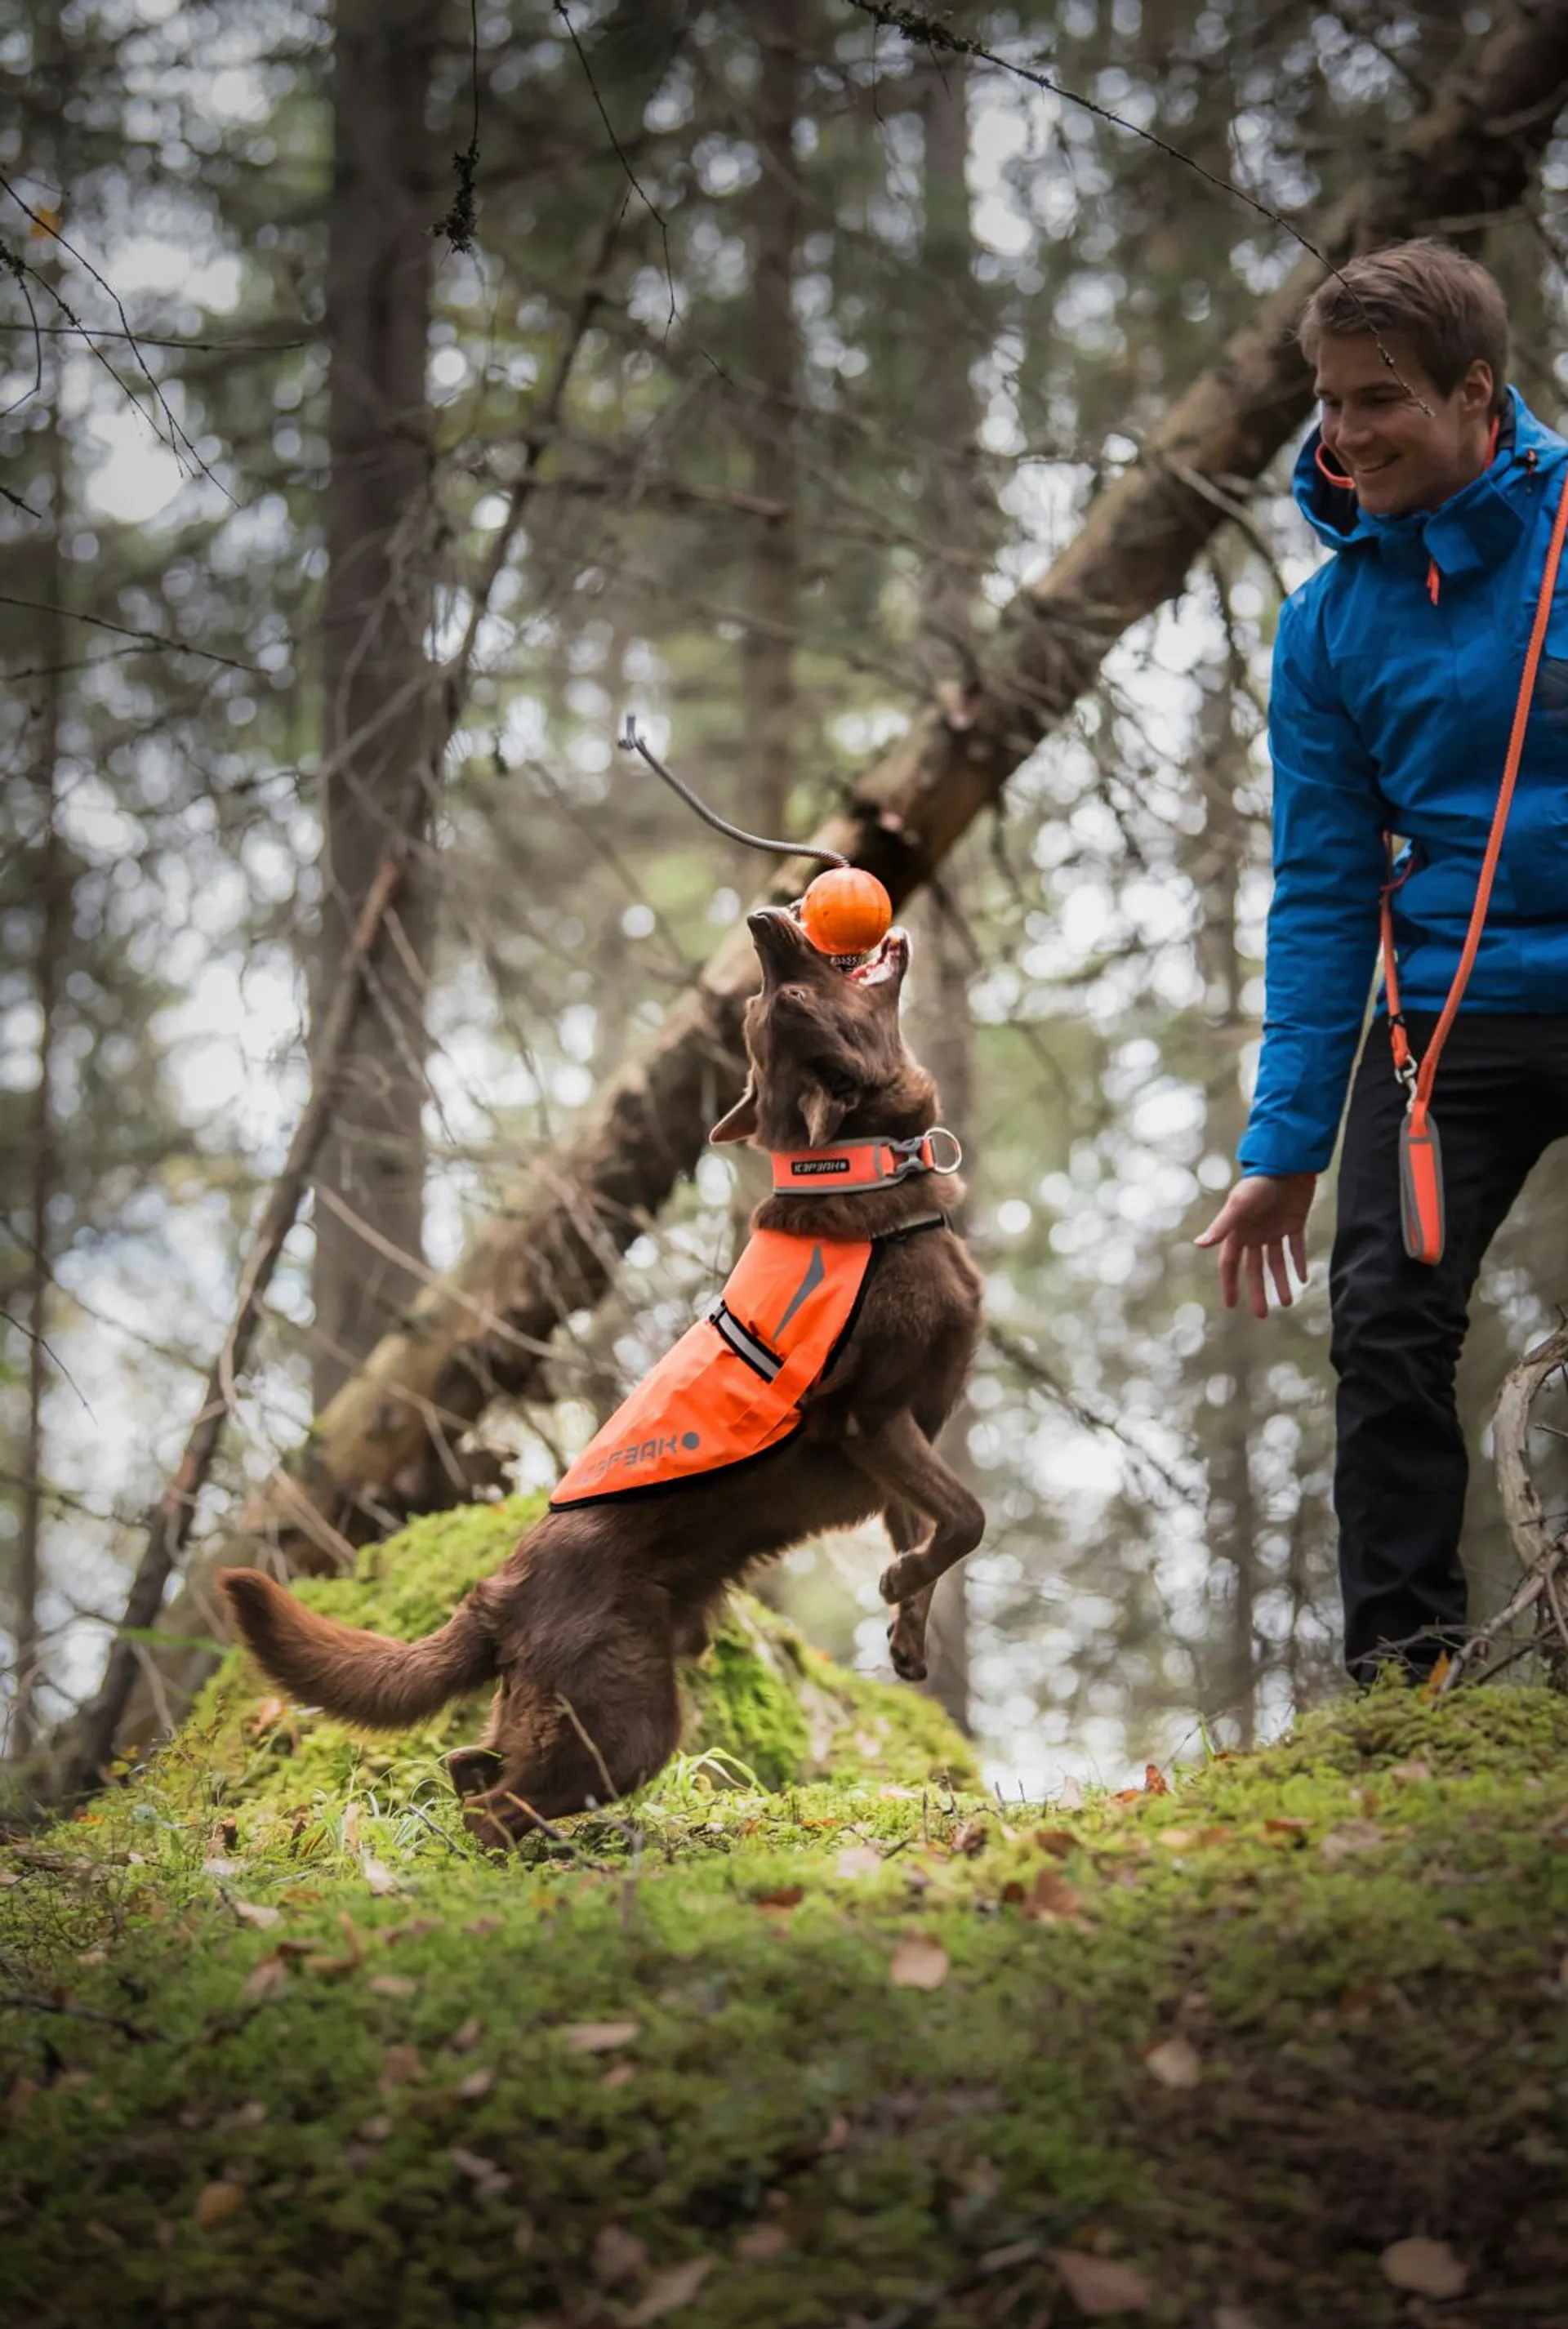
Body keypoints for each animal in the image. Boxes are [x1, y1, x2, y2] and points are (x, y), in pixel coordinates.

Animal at [220, 903, 978, 1835]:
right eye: (778, 996)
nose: (762, 917)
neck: (863, 1173)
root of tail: (497, 1590)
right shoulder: (877, 1420)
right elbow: (965, 1518)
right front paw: (905, 1578)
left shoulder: (908, 1439)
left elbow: (929, 1534)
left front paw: (907, 1627)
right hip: (629, 1714)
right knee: (497, 1805)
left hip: (559, 1704)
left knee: (473, 1763)